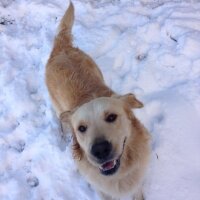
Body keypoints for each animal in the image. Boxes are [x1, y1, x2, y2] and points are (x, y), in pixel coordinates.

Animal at [45, 1, 150, 200]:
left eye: (111, 117)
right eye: (81, 128)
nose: (100, 150)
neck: (119, 175)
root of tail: (62, 47)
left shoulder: (138, 181)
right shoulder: (102, 190)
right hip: (57, 106)